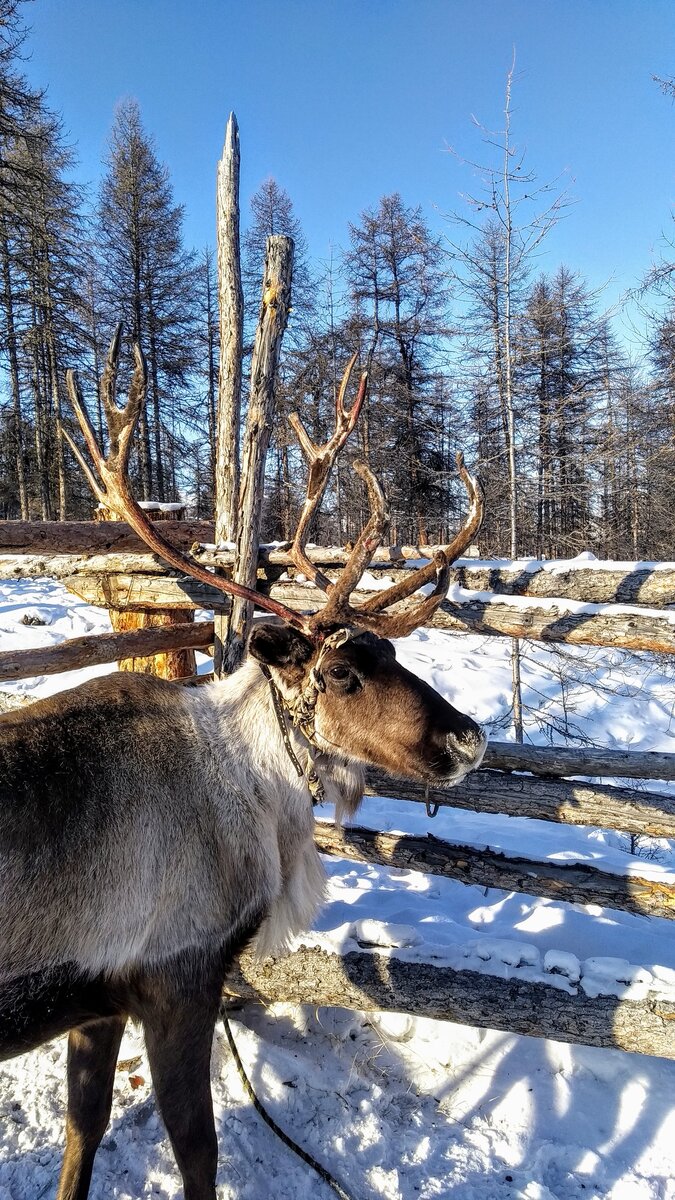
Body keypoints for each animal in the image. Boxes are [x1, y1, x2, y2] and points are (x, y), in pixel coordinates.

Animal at [0, 328, 486, 1200]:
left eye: (394, 651)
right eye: (340, 672)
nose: (469, 739)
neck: (248, 790)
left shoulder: (96, 1000)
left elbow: (82, 1128)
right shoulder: (178, 980)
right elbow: (198, 1149)